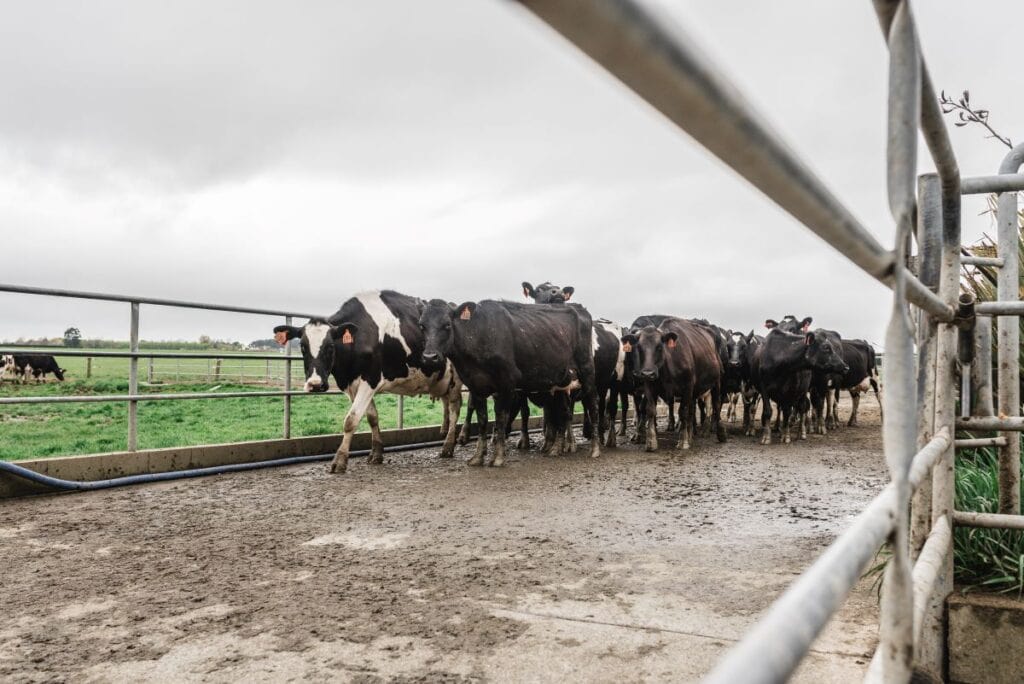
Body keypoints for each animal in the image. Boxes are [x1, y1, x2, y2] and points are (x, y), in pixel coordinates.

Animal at [274, 290, 462, 475]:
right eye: (303, 347)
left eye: (330, 347)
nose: (315, 385)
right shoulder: (353, 385)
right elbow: (372, 417)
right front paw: (376, 453)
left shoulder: (370, 380)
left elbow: (351, 420)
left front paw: (340, 460)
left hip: (456, 380)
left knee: (455, 409)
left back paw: (448, 446)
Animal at [419, 296, 602, 466]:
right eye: (422, 326)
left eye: (447, 325)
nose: (429, 357)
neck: (478, 334)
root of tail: (580, 309)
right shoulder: (475, 386)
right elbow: (483, 420)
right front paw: (478, 457)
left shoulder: (507, 383)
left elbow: (501, 417)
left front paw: (498, 457)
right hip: (562, 382)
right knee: (564, 412)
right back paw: (556, 449)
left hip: (587, 372)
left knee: (593, 406)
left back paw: (595, 449)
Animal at [618, 317, 724, 450]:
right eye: (639, 348)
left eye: (659, 347)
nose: (647, 373)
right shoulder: (649, 387)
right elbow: (650, 410)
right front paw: (651, 442)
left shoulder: (687, 386)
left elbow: (683, 412)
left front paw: (683, 441)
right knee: (692, 411)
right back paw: (691, 435)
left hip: (716, 382)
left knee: (716, 404)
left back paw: (720, 433)